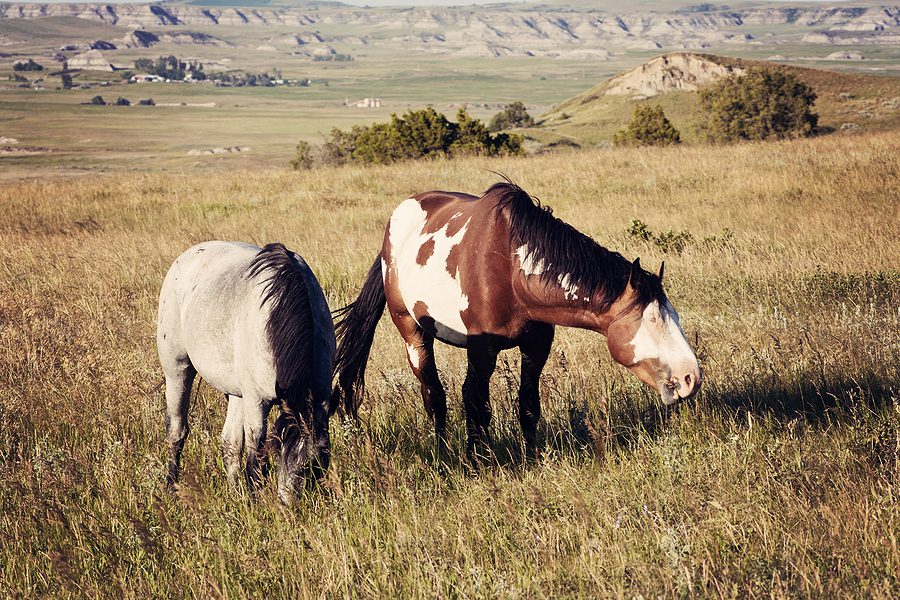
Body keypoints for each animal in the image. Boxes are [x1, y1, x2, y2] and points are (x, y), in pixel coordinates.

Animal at [156, 240, 336, 502]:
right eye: (282, 454)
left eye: (318, 465)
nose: (291, 505)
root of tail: (188, 255)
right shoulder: (256, 401)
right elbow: (255, 456)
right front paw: (255, 502)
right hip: (177, 371)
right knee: (177, 432)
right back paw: (171, 487)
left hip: (235, 391)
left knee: (230, 444)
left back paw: (234, 494)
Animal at [332, 180, 704, 458]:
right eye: (653, 320)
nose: (691, 378)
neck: (511, 269)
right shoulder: (481, 349)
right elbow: (475, 402)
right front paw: (478, 460)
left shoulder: (537, 345)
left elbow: (528, 404)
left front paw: (532, 455)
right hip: (412, 331)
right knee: (433, 396)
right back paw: (442, 451)